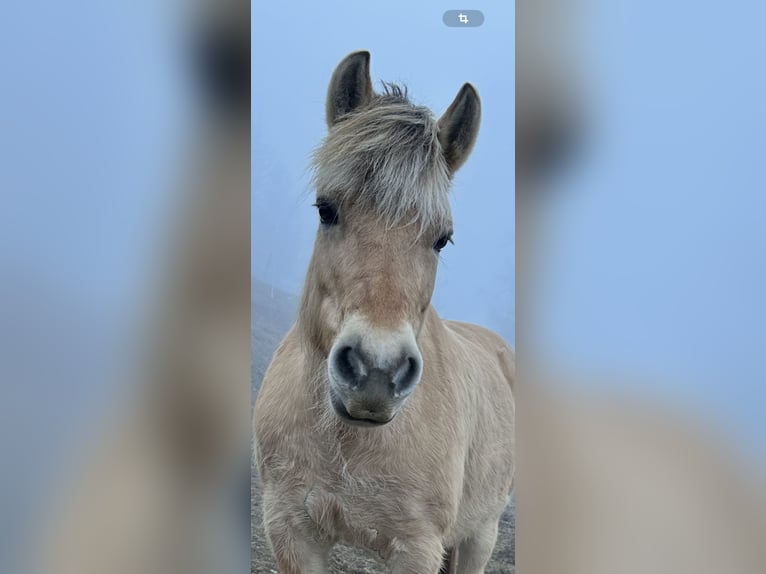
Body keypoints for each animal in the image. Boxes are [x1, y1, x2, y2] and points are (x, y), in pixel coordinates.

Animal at [253, 51, 515, 574]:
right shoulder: (290, 529)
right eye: (326, 209)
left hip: (481, 533)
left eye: (442, 238)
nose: (376, 372)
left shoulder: (415, 548)